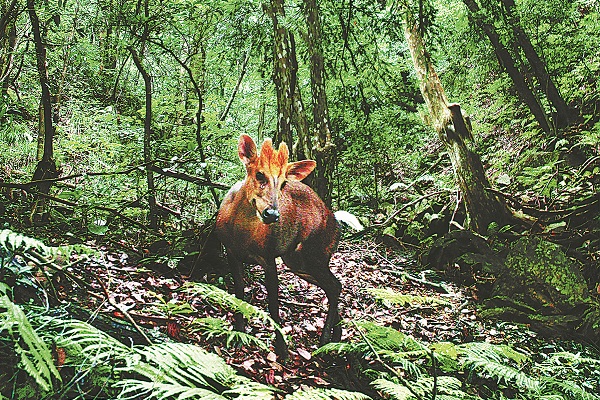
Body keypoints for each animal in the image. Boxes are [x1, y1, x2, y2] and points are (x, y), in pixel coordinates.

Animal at [216, 135, 340, 360]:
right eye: (259, 174)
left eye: (283, 183)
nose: (272, 214)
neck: (242, 235)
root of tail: (338, 226)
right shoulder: (231, 252)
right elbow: (239, 292)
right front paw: (238, 332)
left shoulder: (268, 256)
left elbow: (273, 304)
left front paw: (282, 349)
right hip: (298, 262)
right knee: (333, 286)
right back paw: (336, 337)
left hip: (316, 255)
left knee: (335, 286)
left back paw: (325, 339)